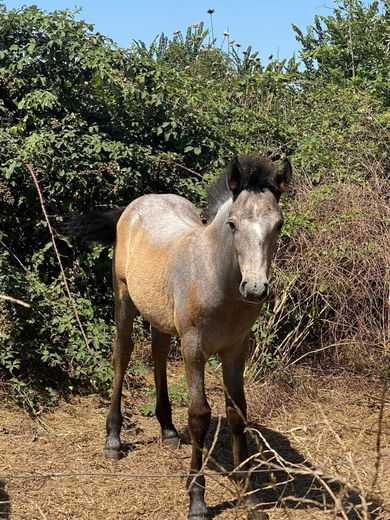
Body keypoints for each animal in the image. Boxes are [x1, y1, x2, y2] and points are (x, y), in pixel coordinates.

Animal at [68, 155, 290, 520]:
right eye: (232, 224)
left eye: (278, 225)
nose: (255, 289)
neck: (217, 280)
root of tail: (137, 204)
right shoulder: (194, 349)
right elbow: (200, 415)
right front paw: (197, 500)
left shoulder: (236, 349)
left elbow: (237, 413)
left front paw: (250, 497)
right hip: (124, 298)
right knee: (122, 354)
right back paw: (113, 440)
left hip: (159, 313)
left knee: (157, 352)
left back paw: (168, 430)